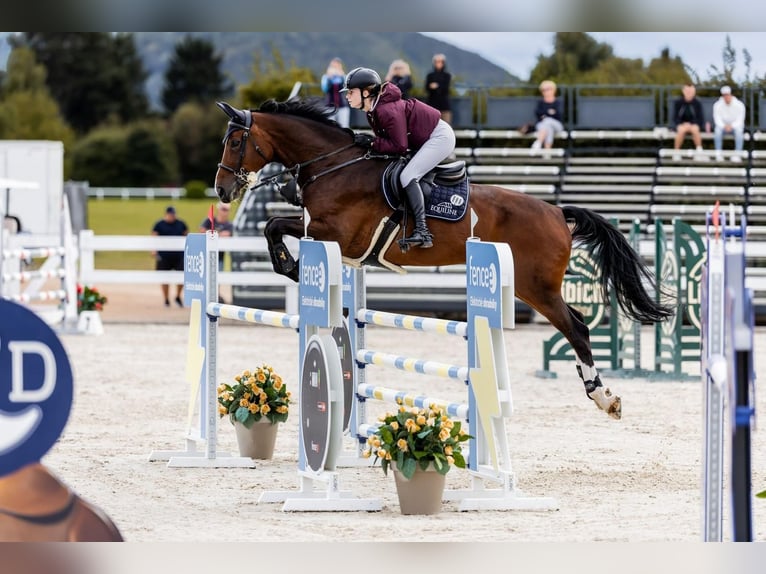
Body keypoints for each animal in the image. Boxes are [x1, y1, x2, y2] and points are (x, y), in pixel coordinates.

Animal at [213, 98, 673, 420]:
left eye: (235, 142)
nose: (220, 190)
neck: (335, 166)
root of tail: (558, 212)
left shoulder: (338, 235)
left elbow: (274, 224)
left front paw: (289, 266)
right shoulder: (324, 232)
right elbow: (274, 225)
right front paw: (288, 265)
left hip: (536, 287)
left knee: (576, 327)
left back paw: (603, 396)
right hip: (535, 286)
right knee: (575, 324)